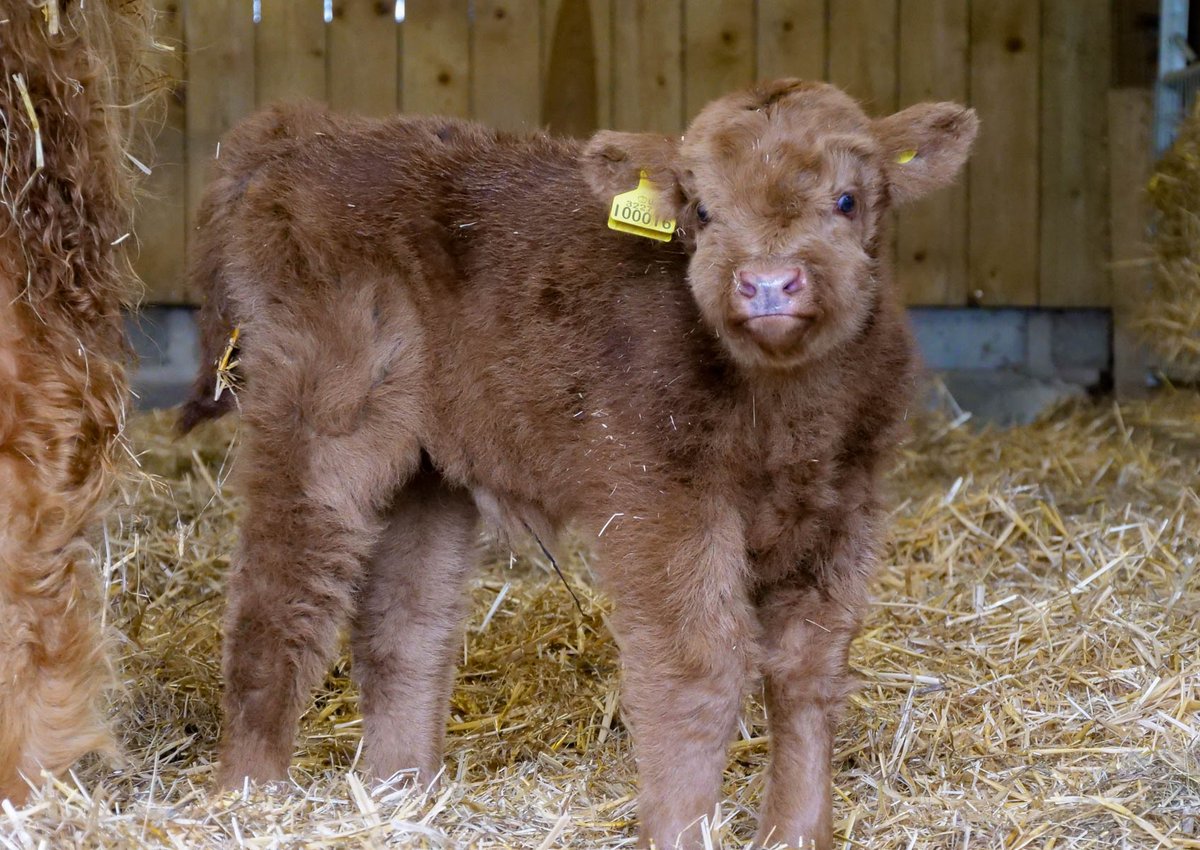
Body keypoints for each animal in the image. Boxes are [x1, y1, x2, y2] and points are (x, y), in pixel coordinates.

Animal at [184, 81, 974, 850]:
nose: (769, 282)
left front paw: (796, 834)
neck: (787, 411)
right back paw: (252, 799)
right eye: (703, 209)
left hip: (427, 465)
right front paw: (680, 831)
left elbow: (811, 669)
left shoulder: (846, 505)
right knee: (279, 599)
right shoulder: (663, 500)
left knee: (406, 622)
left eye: (846, 200)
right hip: (319, 420)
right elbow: (698, 668)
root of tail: (306, 133)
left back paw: (400, 794)